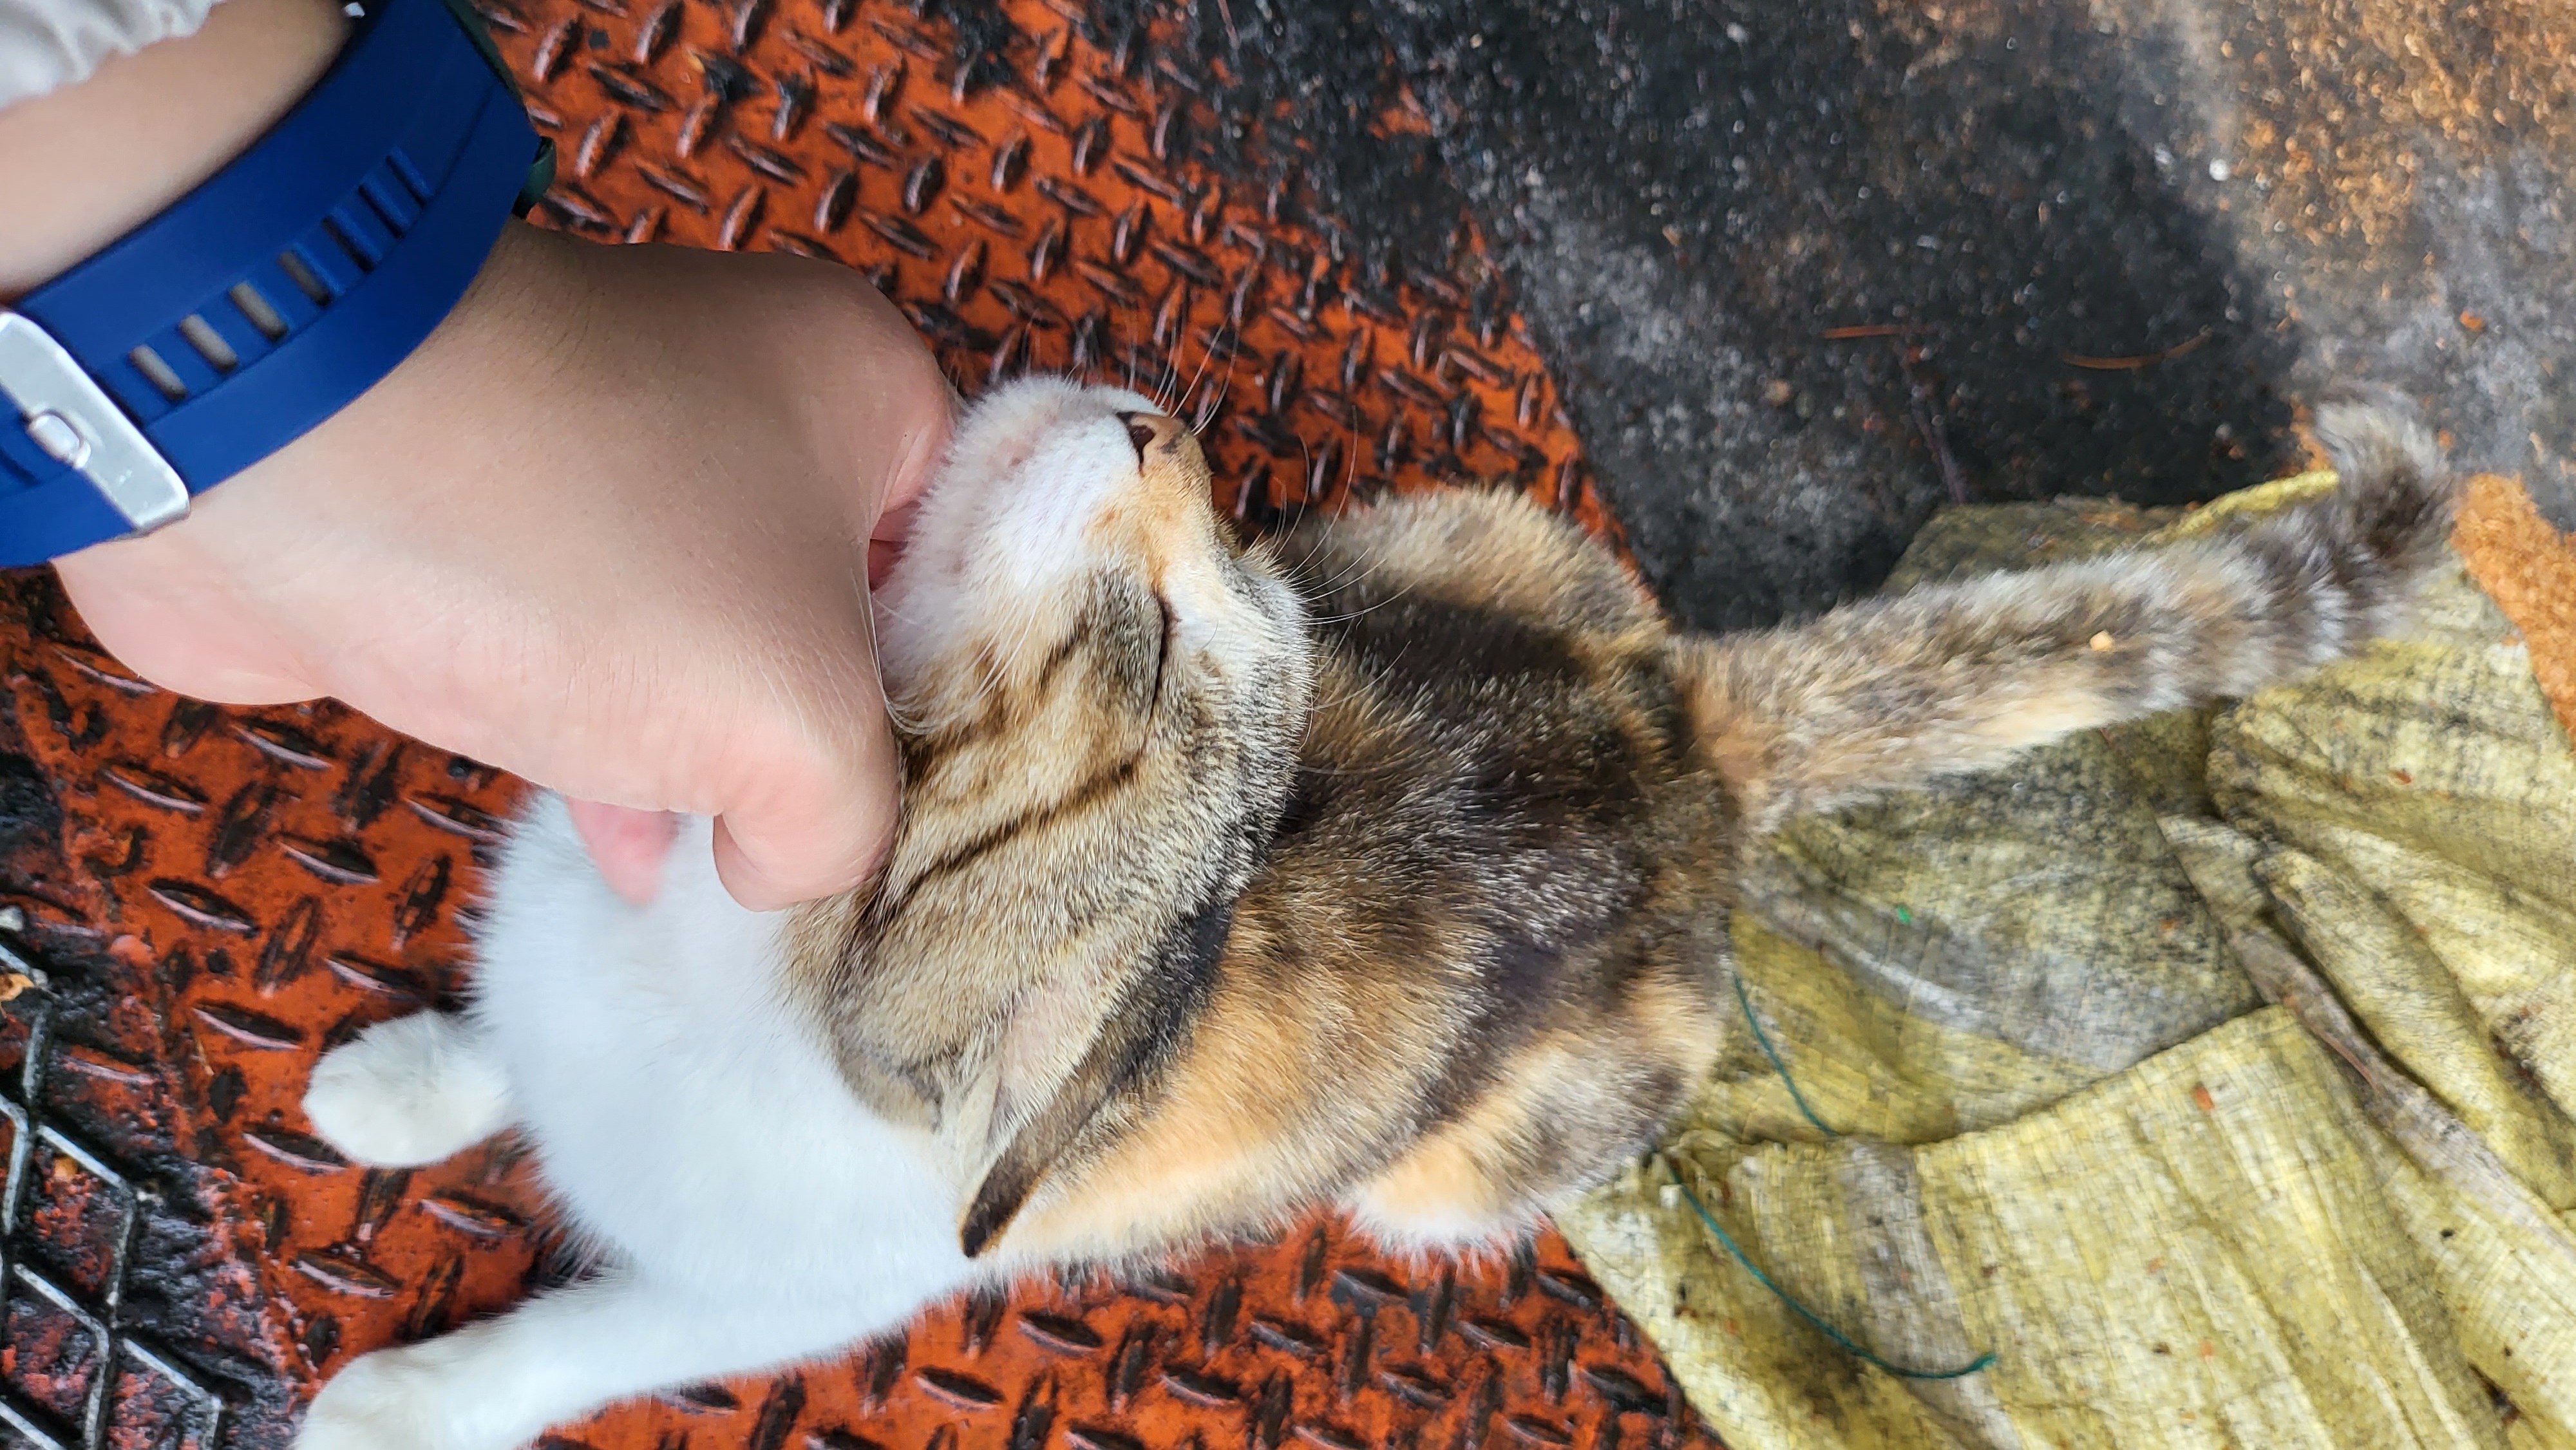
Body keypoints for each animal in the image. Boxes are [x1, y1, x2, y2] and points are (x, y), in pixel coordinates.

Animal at [292, 376, 2454, 1450]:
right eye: (1214, 598)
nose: (1162, 422)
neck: (719, 962)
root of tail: (1682, 742)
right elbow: (497, 1043)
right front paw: (407, 1087)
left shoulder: (781, 1289)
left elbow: (583, 1342)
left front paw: (407, 1405)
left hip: (1466, 1176)